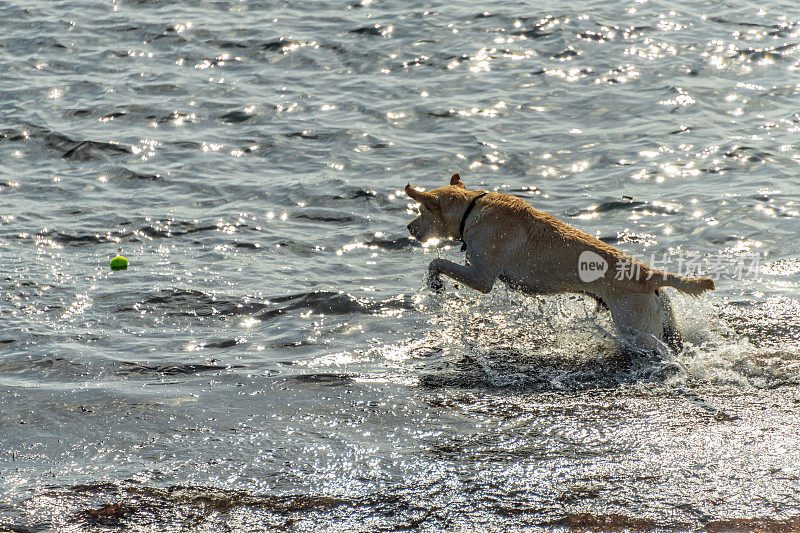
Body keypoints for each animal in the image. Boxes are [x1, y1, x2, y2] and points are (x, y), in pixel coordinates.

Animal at [406, 172, 712, 352]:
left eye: (420, 210)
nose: (408, 228)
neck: (471, 209)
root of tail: (650, 273)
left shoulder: (481, 277)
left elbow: (438, 262)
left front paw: (435, 282)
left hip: (635, 327)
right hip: (664, 322)